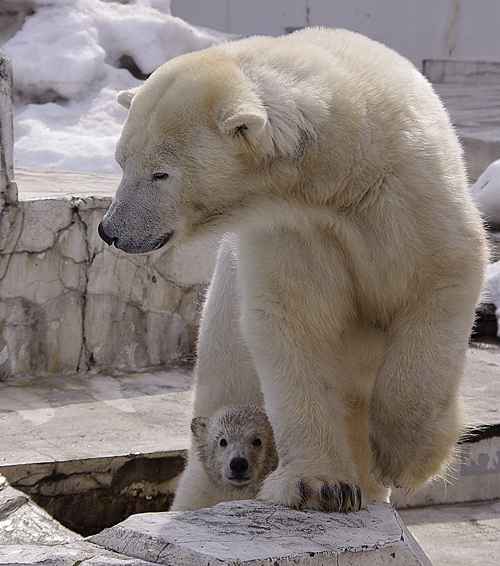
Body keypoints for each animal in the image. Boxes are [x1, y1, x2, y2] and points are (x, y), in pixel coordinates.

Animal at [98, 26, 488, 516]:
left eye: (160, 173)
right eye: (120, 161)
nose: (109, 230)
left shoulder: (408, 196)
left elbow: (436, 283)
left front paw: (405, 460)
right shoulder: (293, 226)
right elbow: (293, 321)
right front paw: (320, 485)